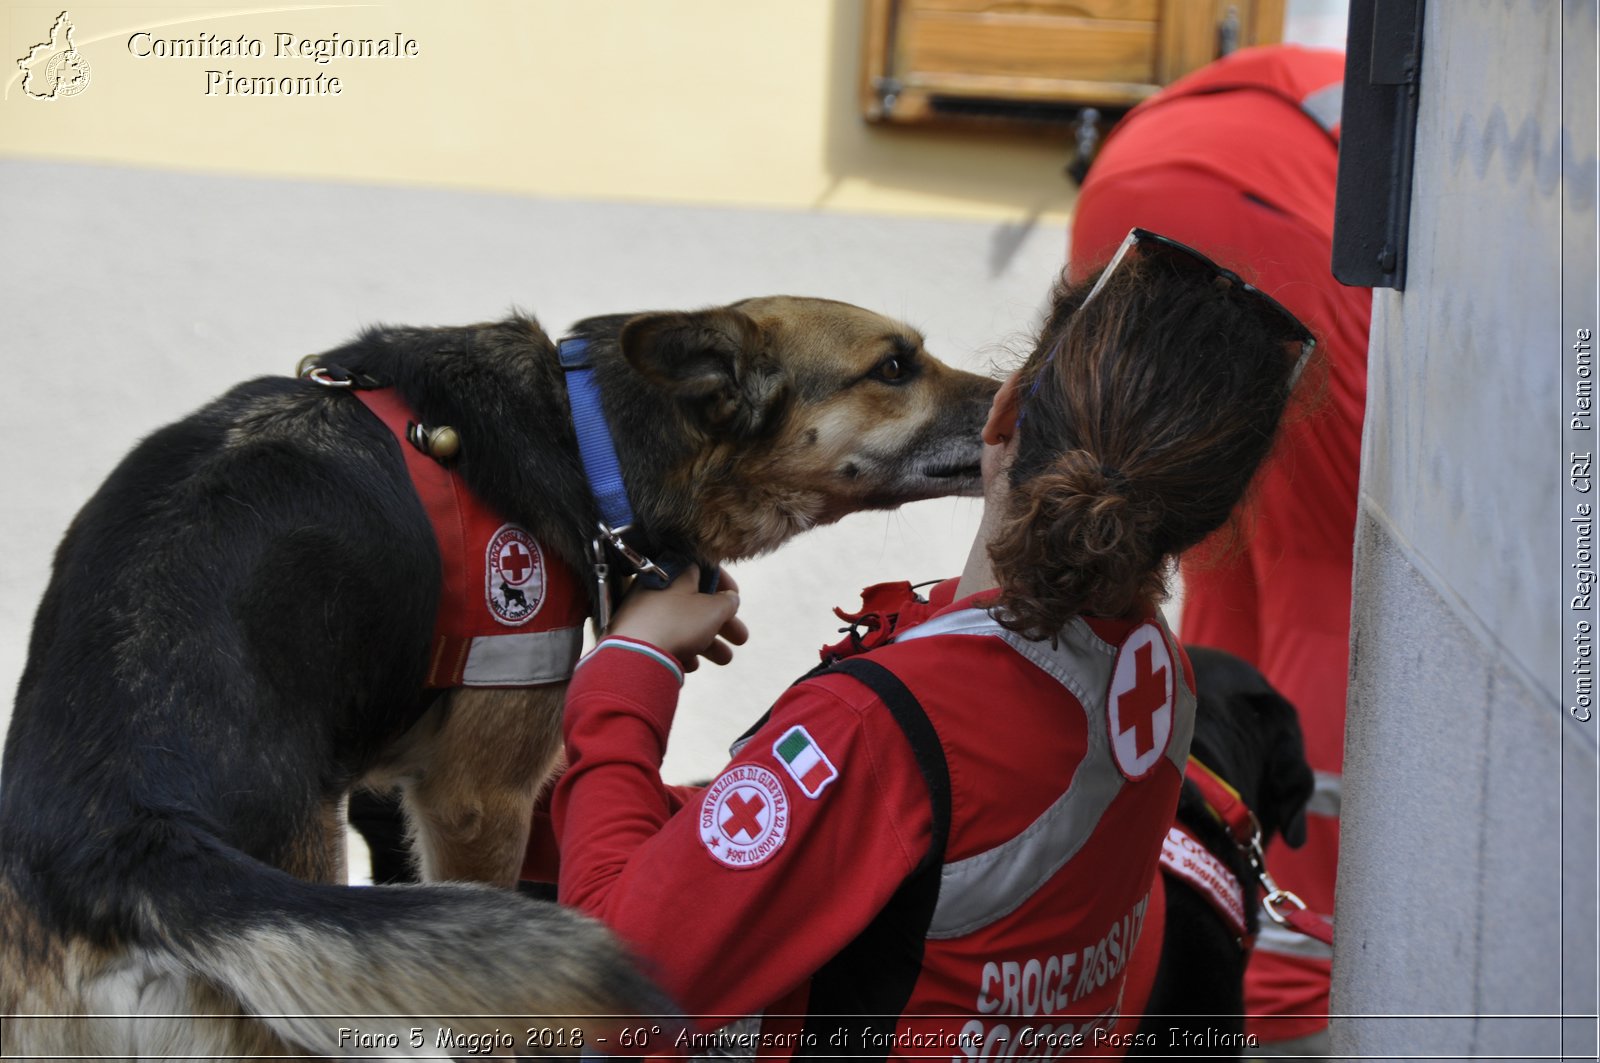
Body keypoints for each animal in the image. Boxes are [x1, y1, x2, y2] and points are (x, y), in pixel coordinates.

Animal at [0, 294, 998, 1056]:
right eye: (895, 367)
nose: (1010, 397)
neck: (587, 431)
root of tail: (117, 841)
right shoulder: (479, 799)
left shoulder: (390, 789)